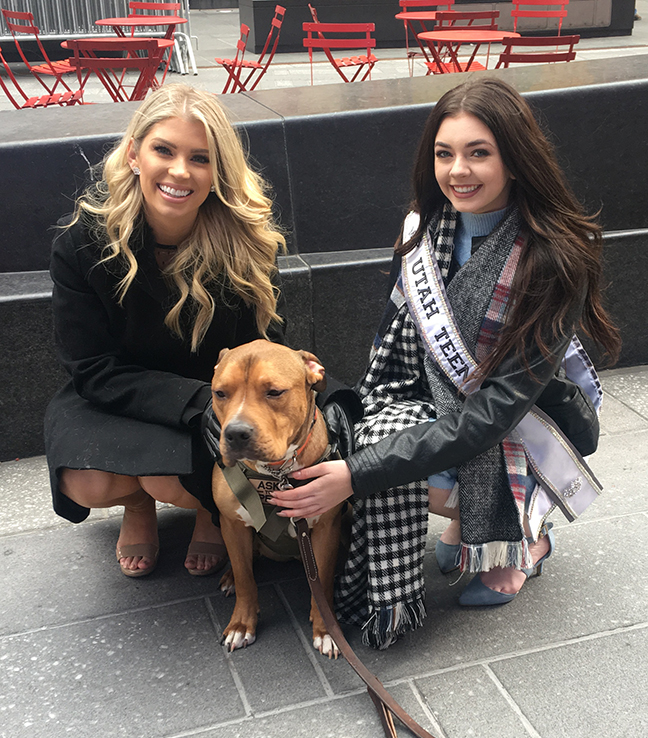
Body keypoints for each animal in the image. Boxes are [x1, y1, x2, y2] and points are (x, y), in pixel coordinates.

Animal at [211, 340, 344, 656]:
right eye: (220, 393)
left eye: (274, 392)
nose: (235, 433)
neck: (276, 473)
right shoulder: (232, 524)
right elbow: (245, 578)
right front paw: (240, 625)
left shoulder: (325, 528)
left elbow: (322, 580)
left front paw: (326, 630)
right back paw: (229, 577)